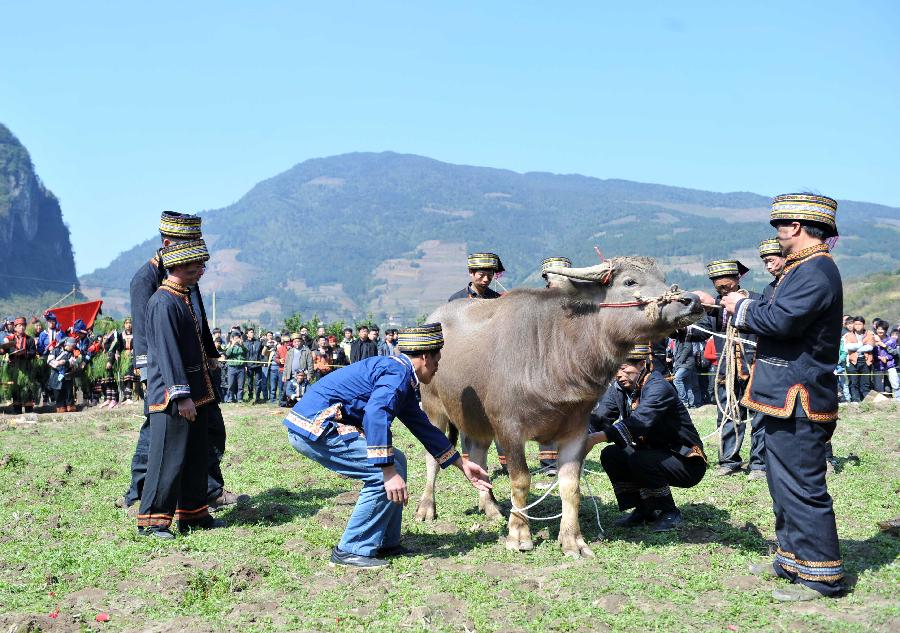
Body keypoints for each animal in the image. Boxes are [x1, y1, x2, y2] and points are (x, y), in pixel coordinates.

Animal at [414, 254, 704, 556]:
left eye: (662, 277)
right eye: (629, 282)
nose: (692, 300)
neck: (553, 352)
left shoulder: (575, 431)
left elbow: (570, 486)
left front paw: (572, 540)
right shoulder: (509, 428)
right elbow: (521, 481)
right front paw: (519, 534)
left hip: (476, 419)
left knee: (477, 455)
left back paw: (491, 507)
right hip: (433, 409)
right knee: (434, 456)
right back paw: (426, 508)